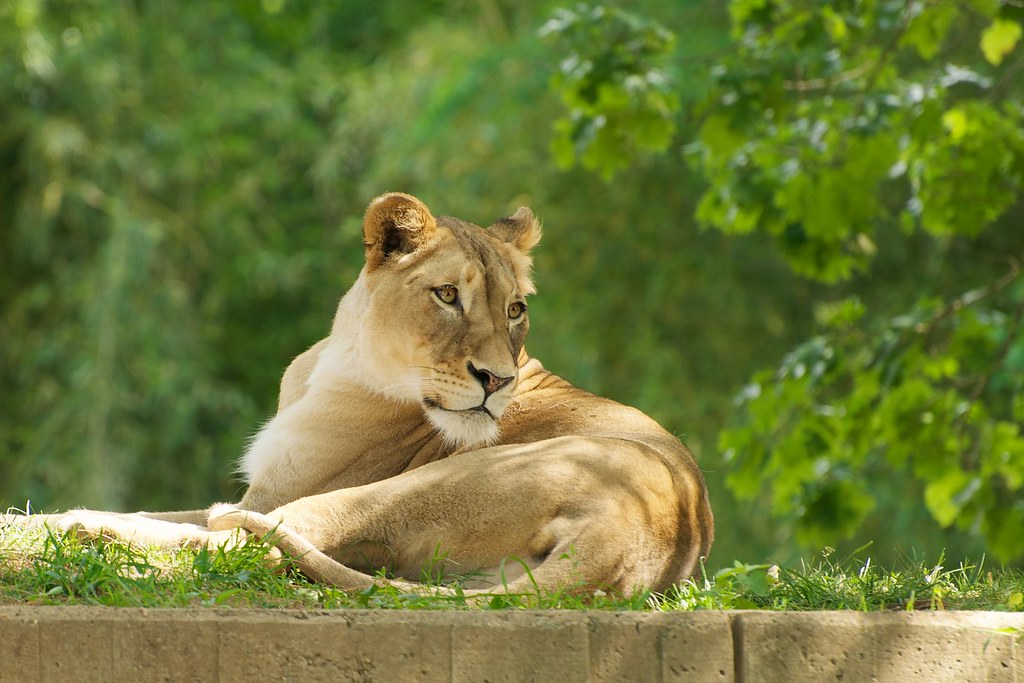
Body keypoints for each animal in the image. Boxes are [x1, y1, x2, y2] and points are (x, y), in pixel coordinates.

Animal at [2, 192, 713, 595]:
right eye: (448, 296)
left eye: (515, 310)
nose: (498, 381)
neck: (335, 358)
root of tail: (639, 536)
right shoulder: (262, 490)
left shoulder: (271, 494)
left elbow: (200, 520)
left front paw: (50, 520)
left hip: (414, 487)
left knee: (249, 543)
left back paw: (87, 532)